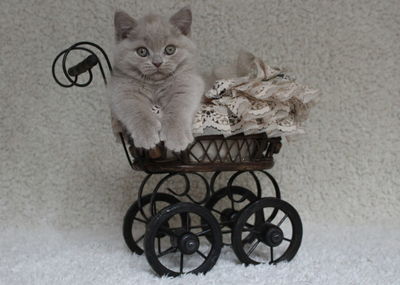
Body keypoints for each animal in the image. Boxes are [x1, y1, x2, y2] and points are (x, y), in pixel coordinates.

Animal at [108, 6, 205, 151]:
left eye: (170, 49)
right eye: (142, 51)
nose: (157, 62)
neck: (155, 84)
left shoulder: (189, 83)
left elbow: (179, 107)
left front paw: (176, 137)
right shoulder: (120, 90)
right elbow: (135, 109)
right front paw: (146, 135)